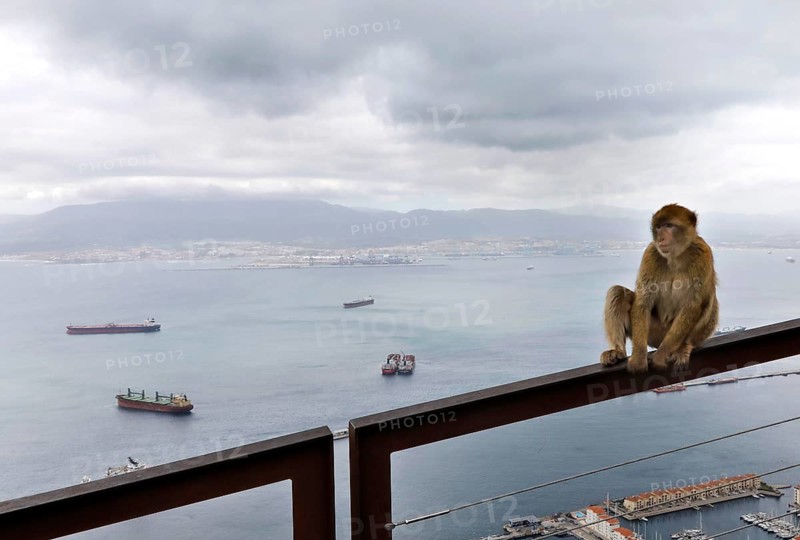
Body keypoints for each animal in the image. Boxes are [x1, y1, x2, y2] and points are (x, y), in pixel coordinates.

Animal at [600, 204, 718, 373]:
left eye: (669, 225)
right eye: (658, 227)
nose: (660, 237)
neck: (676, 257)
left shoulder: (703, 254)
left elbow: (693, 305)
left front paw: (661, 355)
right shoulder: (651, 254)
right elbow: (643, 301)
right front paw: (638, 357)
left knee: (708, 301)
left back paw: (685, 347)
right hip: (652, 331)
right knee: (617, 291)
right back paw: (618, 351)